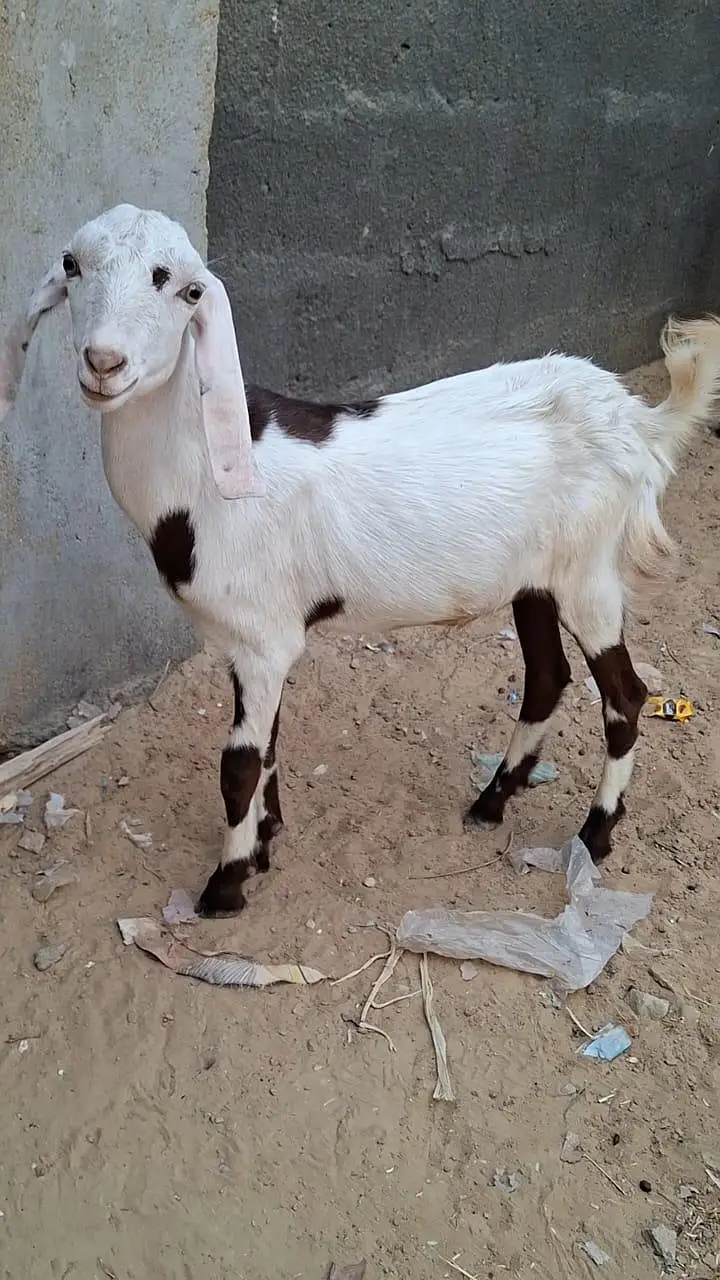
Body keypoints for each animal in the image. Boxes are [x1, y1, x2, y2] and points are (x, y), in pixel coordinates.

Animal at [2, 203, 719, 917]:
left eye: (184, 288)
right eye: (72, 264)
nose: (104, 362)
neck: (206, 473)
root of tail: (635, 418)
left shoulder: (263, 641)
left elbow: (239, 765)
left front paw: (226, 884)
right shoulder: (255, 641)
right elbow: (268, 749)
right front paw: (266, 840)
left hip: (589, 574)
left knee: (625, 696)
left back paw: (594, 835)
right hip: (534, 580)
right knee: (547, 677)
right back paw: (491, 802)